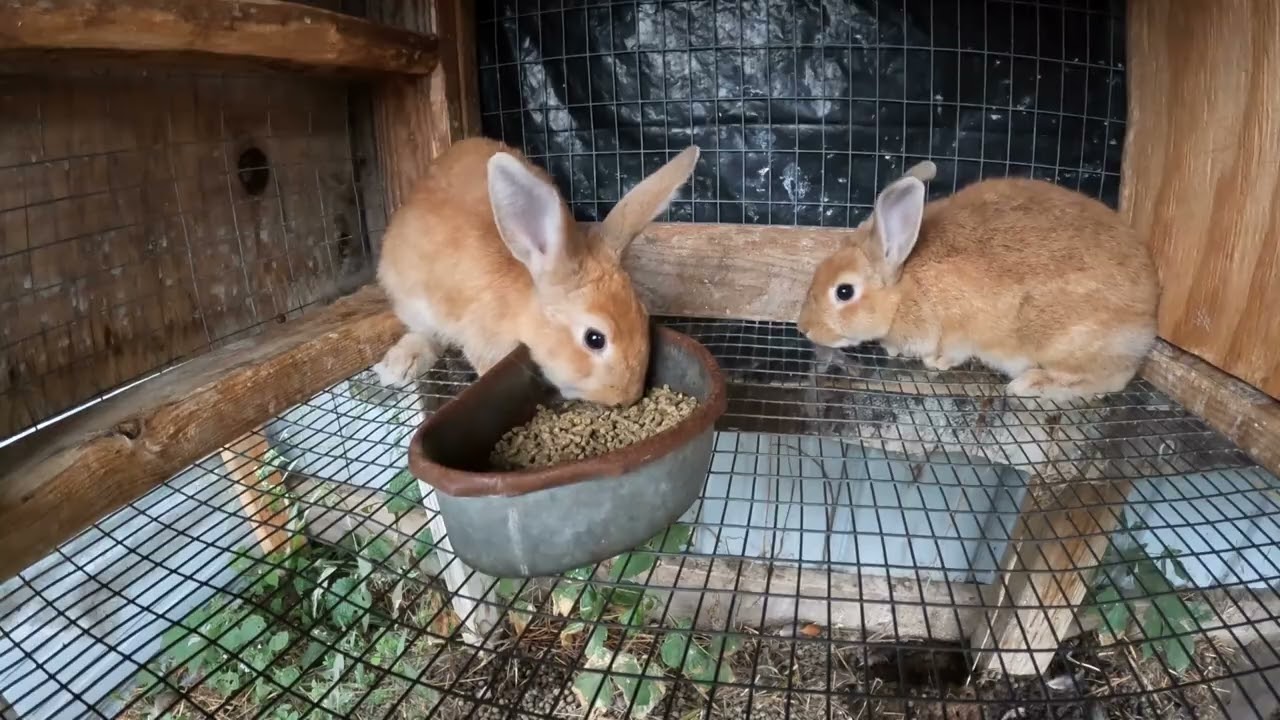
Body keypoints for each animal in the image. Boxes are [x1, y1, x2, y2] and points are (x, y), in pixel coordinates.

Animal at [374, 137, 701, 407]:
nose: (627, 398)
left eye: (643, 315)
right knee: (425, 332)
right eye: (595, 339)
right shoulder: (482, 340)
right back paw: (399, 365)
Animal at [796, 165, 1159, 402]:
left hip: (1063, 343)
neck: (905, 286)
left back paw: (1029, 385)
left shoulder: (959, 330)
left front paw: (933, 362)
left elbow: (952, 352)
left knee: (1110, 379)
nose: (804, 328)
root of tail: (1149, 319)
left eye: (844, 292)